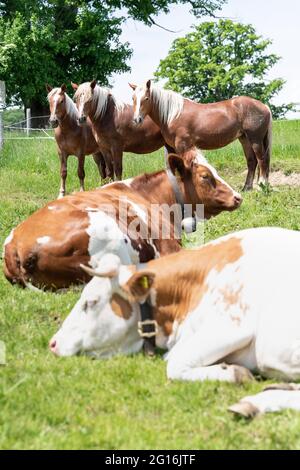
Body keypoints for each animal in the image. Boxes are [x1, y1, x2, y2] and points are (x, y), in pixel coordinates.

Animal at [129, 81, 272, 191]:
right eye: (133, 99)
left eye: (146, 98)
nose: (137, 119)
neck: (173, 115)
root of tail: (263, 105)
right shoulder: (173, 147)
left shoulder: (183, 146)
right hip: (244, 139)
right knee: (252, 161)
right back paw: (247, 188)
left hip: (255, 140)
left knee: (262, 160)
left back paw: (262, 185)